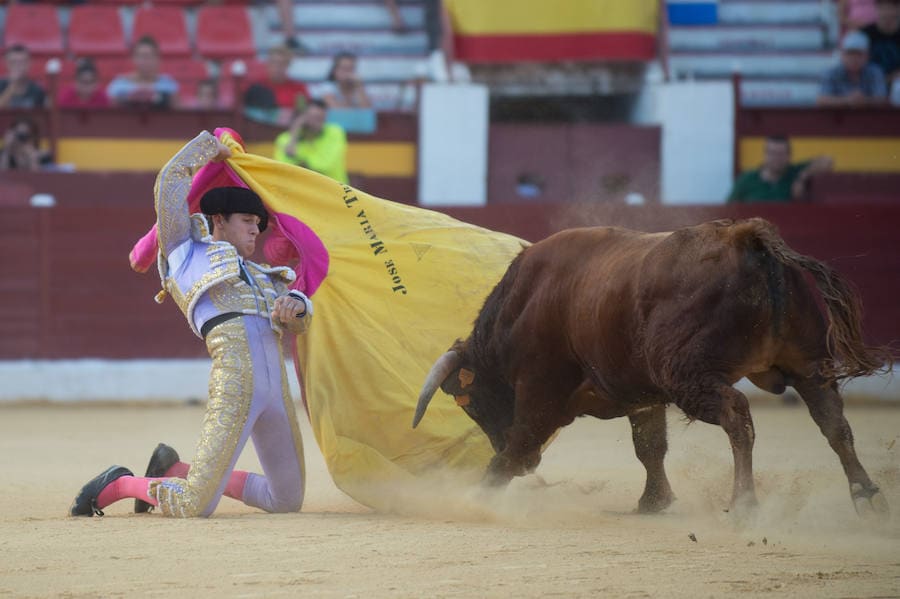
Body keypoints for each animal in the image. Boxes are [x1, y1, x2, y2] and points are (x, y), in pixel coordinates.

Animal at [414, 218, 892, 516]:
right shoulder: (642, 395)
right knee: (834, 424)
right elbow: (650, 447)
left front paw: (475, 497)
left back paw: (744, 504)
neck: (521, 305)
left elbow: (517, 444)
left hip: (686, 375)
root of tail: (746, 238)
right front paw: (654, 503)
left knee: (737, 414)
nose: (535, 467)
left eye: (469, 402)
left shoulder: (539, 386)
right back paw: (867, 498)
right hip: (810, 365)